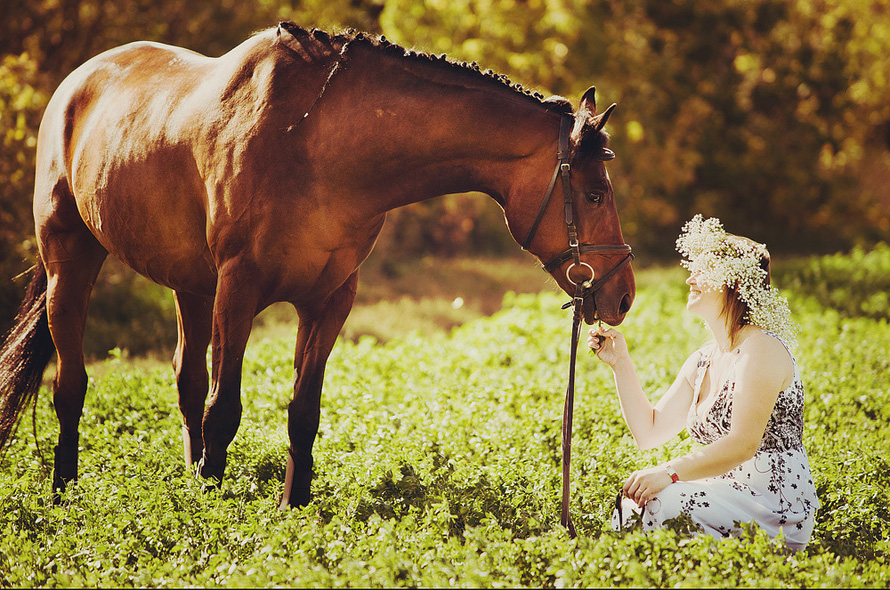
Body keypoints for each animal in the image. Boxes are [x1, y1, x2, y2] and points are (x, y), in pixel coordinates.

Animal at [0, 23, 632, 512]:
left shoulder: (329, 298)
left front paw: (292, 508)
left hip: (189, 284)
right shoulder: (238, 286)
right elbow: (225, 408)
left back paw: (185, 477)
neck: (315, 144)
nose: (622, 295)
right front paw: (214, 508)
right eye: (595, 193)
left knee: (186, 381)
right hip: (71, 258)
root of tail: (76, 83)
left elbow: (302, 410)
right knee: (71, 383)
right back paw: (65, 491)